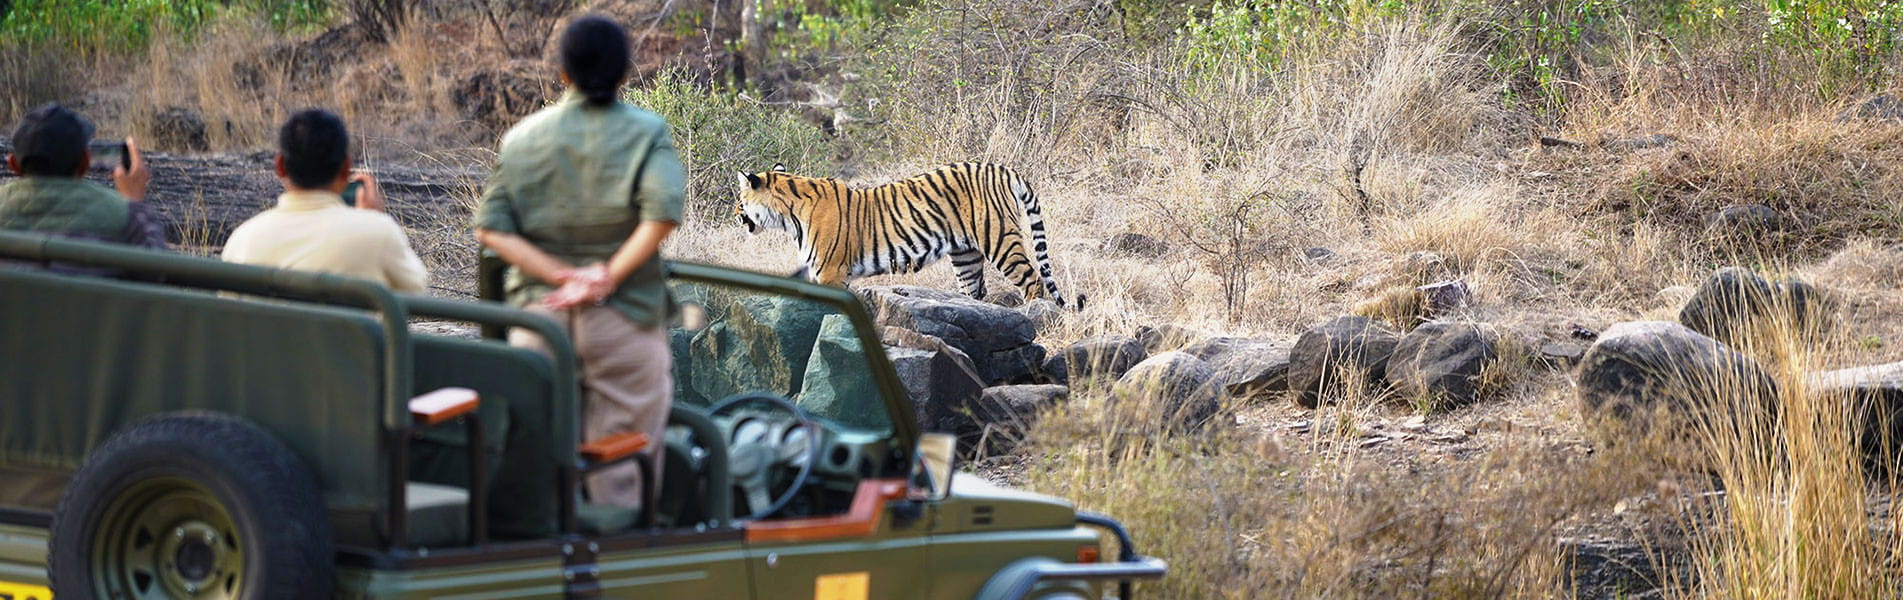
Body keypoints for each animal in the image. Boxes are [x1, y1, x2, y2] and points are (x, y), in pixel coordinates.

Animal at [734, 161, 1080, 308]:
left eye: (739, 199)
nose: (736, 215)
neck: (787, 214)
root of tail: (1005, 169)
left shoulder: (831, 272)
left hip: (999, 239)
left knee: (1033, 280)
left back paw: (1032, 316)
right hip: (965, 255)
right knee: (975, 290)